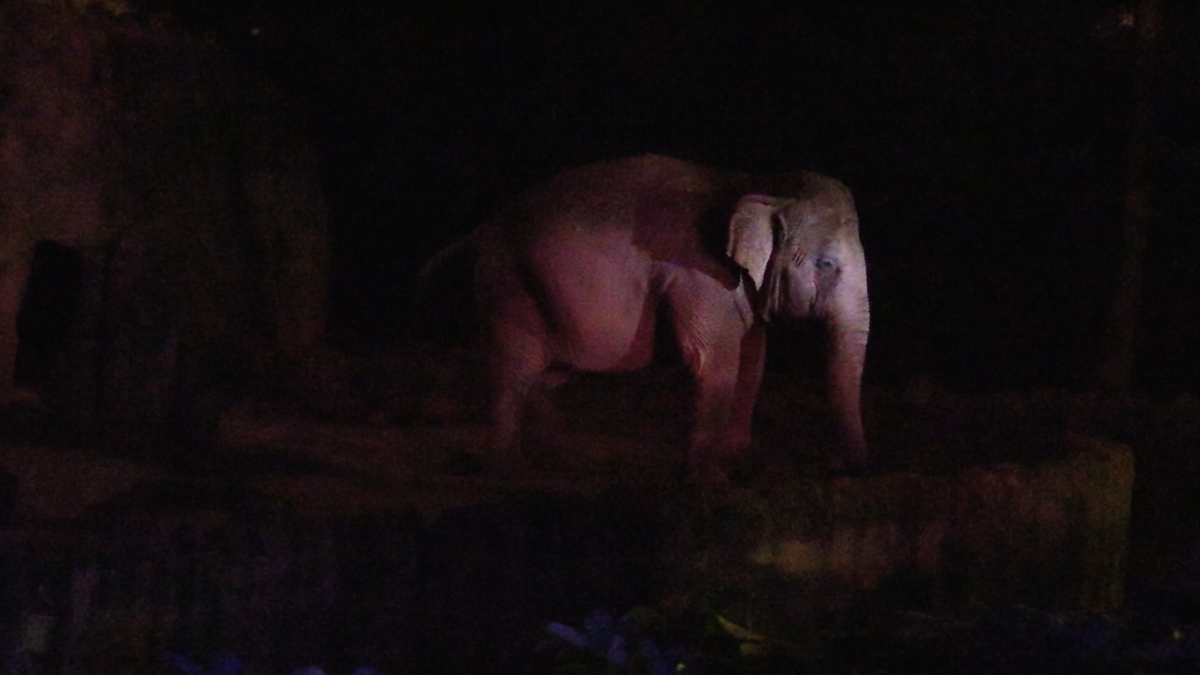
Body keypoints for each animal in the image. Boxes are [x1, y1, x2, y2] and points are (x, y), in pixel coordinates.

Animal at [470, 153, 873, 478]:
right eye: (826, 265)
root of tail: (483, 227)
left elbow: (753, 364)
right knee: (516, 369)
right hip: (509, 289)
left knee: (543, 376)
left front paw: (740, 467)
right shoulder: (699, 276)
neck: (756, 184)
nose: (837, 466)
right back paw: (508, 470)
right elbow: (715, 362)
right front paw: (711, 482)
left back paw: (554, 463)